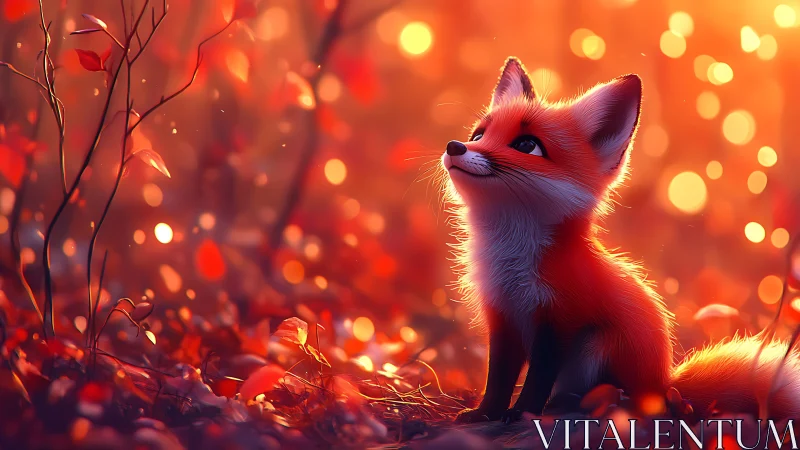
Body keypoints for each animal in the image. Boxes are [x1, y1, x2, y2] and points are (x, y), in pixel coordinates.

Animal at [442, 57, 800, 424]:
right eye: (479, 134)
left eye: (527, 145)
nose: (455, 147)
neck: (512, 263)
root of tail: (666, 385)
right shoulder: (503, 318)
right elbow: (498, 379)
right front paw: (484, 414)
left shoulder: (560, 321)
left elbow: (537, 380)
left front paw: (521, 415)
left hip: (600, 344)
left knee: (619, 399)